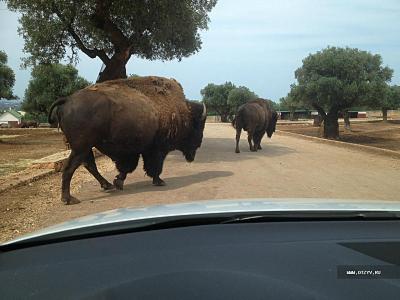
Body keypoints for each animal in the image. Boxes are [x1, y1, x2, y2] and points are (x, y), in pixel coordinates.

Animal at [47, 76, 206, 205]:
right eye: (199, 126)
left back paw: (107, 185)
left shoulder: (136, 151)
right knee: (70, 168)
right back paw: (69, 199)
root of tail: (67, 100)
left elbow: (128, 168)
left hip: (85, 147)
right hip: (81, 147)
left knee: (89, 165)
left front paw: (118, 182)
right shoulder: (156, 150)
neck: (182, 112)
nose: (198, 145)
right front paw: (159, 181)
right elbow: (152, 167)